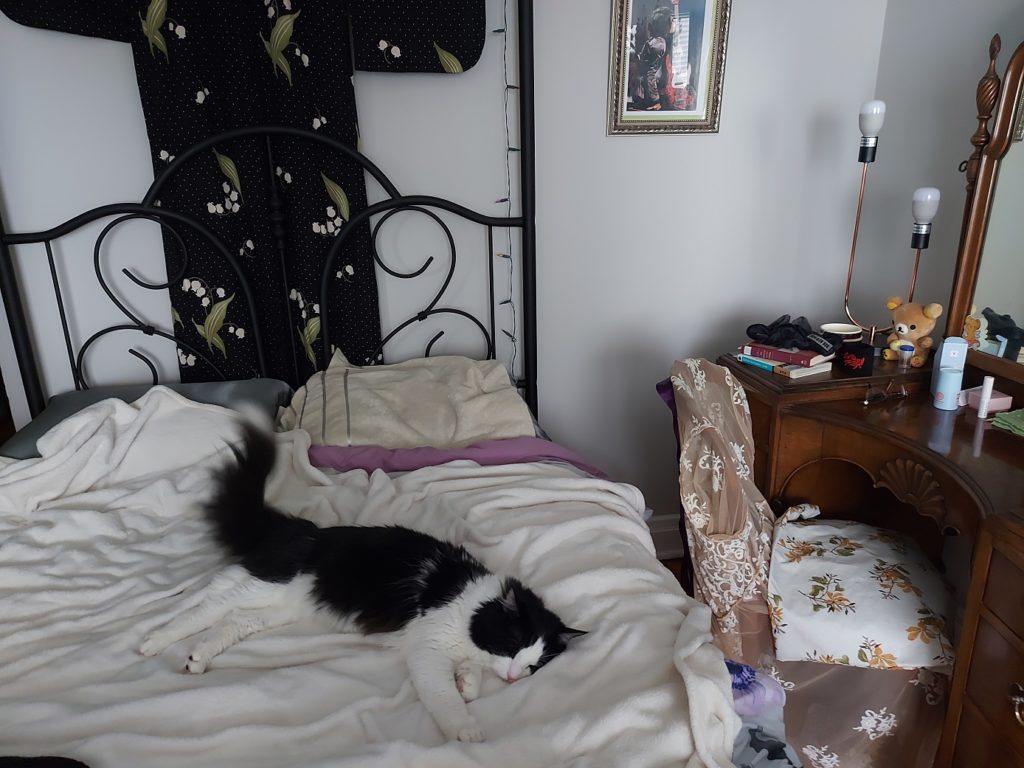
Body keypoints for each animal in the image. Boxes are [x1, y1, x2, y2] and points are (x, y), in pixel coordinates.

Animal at [140, 421, 585, 745]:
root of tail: (301, 530)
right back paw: (154, 641)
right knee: (207, 605)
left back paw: (197, 657)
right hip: (267, 585)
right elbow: (445, 699)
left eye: (533, 665)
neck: (472, 603)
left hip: (277, 608)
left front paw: (468, 684)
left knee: (229, 616)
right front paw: (465, 728)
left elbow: (470, 678)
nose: (512, 677)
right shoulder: (428, 650)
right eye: (511, 645)